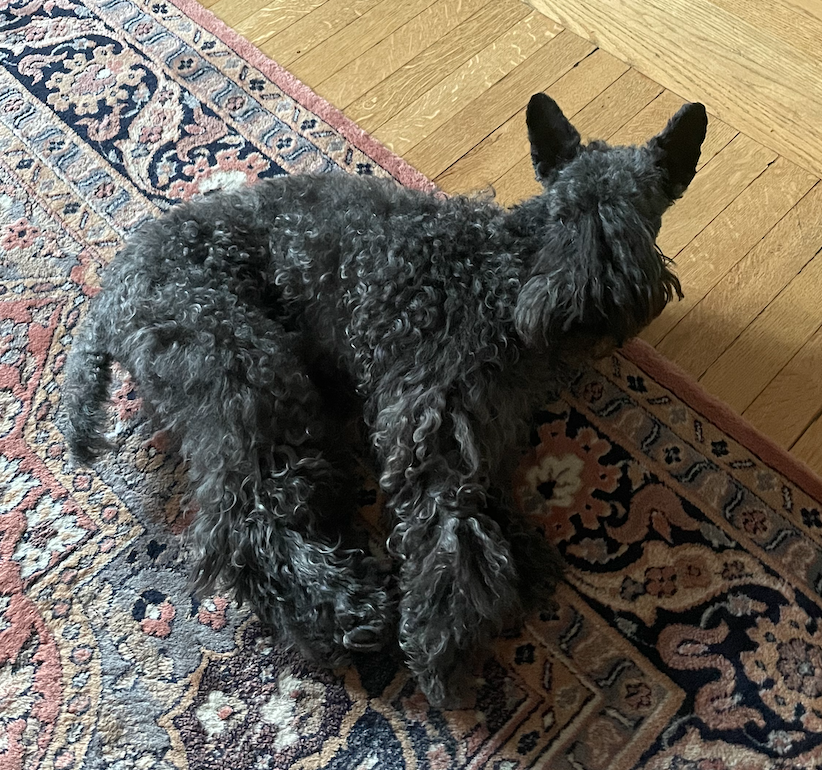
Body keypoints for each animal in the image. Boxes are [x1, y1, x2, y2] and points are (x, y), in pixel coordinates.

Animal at [61, 94, 707, 707]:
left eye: (640, 213)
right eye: (566, 211)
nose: (589, 305)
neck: (506, 268)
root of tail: (110, 299)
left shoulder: (480, 428)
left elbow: (487, 502)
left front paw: (520, 555)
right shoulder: (428, 429)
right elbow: (453, 540)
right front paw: (444, 647)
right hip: (258, 389)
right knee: (247, 526)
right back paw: (348, 612)